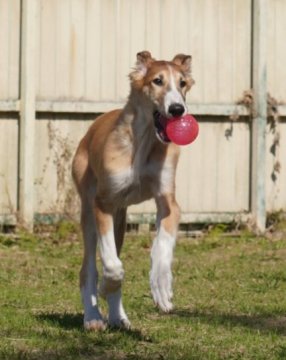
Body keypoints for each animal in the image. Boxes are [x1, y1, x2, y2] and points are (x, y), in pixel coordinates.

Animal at [72, 52, 194, 330]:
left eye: (182, 83)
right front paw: (106, 285)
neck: (146, 140)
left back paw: (118, 317)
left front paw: (161, 286)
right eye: (157, 80)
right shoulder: (102, 203)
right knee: (88, 269)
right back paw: (93, 316)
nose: (177, 110)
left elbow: (162, 244)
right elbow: (112, 265)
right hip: (89, 210)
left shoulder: (168, 202)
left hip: (120, 218)